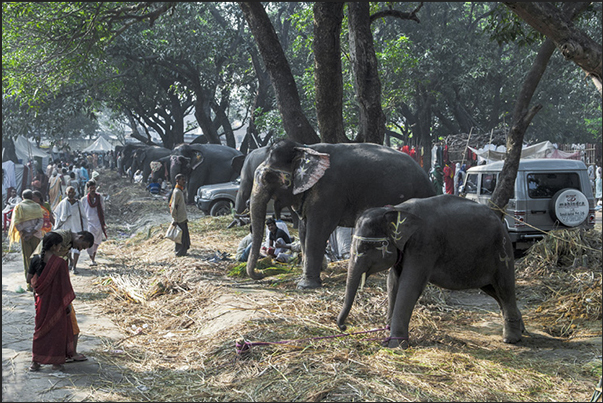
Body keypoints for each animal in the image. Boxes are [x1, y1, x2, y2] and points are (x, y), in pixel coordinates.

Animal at [248, 140, 436, 288]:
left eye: (266, 177)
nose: (261, 274)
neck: (305, 148)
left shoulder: (329, 191)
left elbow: (317, 230)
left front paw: (305, 286)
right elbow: (303, 230)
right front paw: (316, 272)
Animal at [338, 194, 528, 348]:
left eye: (364, 247)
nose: (343, 327)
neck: (397, 210)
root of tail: (500, 220)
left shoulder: (424, 245)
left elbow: (410, 284)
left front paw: (397, 345)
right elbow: (392, 282)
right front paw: (387, 337)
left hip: (502, 251)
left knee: (504, 288)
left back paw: (511, 339)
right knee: (494, 290)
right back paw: (520, 329)